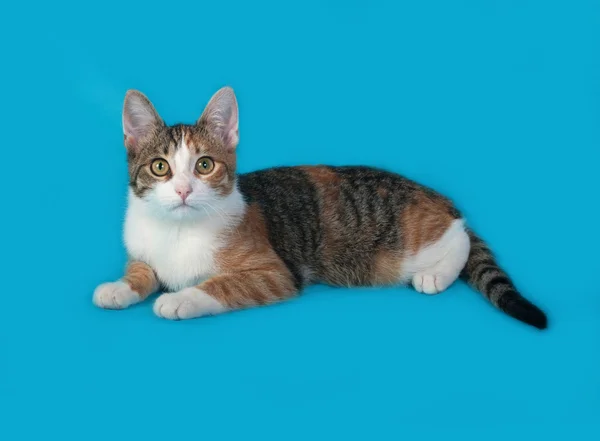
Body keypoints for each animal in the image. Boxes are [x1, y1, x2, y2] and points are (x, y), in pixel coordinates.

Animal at [92, 86, 548, 328]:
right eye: (160, 167)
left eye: (204, 165)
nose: (185, 190)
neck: (178, 231)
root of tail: (434, 194)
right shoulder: (144, 251)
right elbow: (142, 270)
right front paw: (119, 287)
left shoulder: (275, 273)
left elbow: (219, 285)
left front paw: (180, 299)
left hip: (404, 248)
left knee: (461, 237)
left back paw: (435, 274)